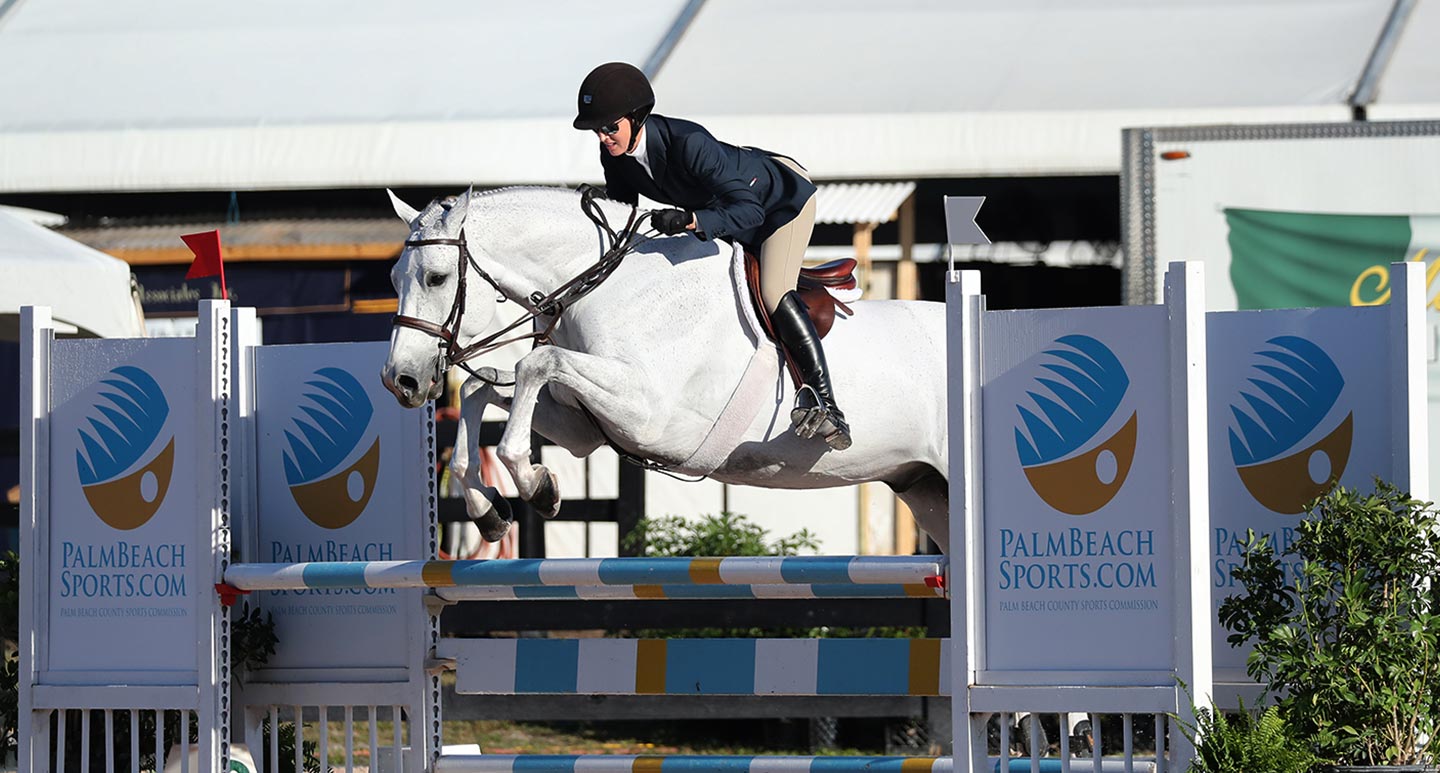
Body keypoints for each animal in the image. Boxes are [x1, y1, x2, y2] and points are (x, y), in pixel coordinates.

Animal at [380, 187, 956, 549]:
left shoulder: (649, 414)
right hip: (928, 492)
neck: (607, 282)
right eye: (391, 278)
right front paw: (491, 510)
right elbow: (485, 392)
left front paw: (534, 481)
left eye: (435, 277)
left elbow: (535, 362)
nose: (401, 381)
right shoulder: (583, 427)